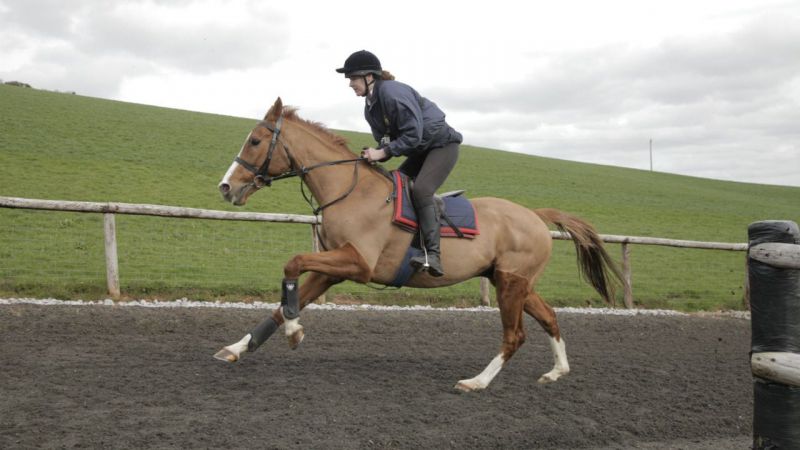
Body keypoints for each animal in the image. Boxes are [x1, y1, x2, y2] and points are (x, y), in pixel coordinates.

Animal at [215, 97, 622, 392]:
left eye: (254, 141)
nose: (226, 187)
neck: (351, 191)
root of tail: (535, 215)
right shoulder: (333, 269)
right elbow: (285, 304)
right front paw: (239, 347)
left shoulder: (357, 264)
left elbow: (293, 263)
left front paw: (294, 332)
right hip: (512, 281)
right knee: (549, 317)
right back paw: (556, 372)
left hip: (511, 284)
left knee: (514, 336)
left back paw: (476, 382)